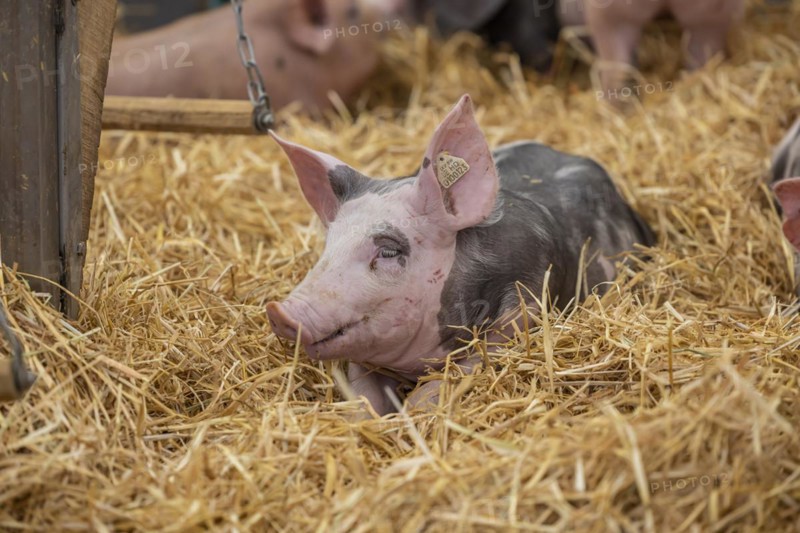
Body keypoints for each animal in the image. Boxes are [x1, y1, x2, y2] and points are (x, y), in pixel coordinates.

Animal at [267, 95, 655, 415]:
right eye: (329, 244)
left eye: (389, 249)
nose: (279, 311)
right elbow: (363, 397)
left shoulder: (523, 316)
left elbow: (443, 384)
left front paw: (412, 414)